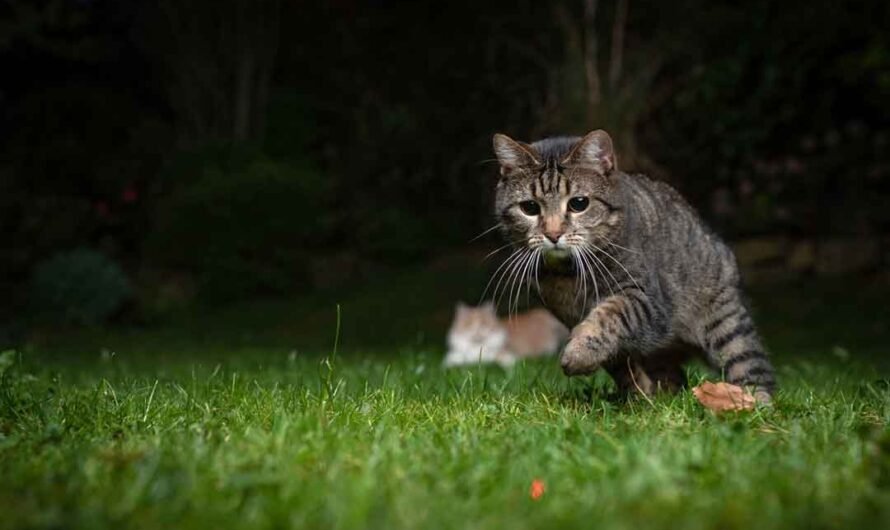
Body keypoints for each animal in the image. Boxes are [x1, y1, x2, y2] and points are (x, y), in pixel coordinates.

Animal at [490, 129, 772, 400]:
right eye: (529, 207)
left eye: (579, 203)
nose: (553, 234)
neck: (568, 275)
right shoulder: (571, 315)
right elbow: (620, 363)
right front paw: (637, 395)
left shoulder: (645, 298)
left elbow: (610, 315)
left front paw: (579, 354)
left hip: (727, 325)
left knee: (753, 368)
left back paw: (752, 403)